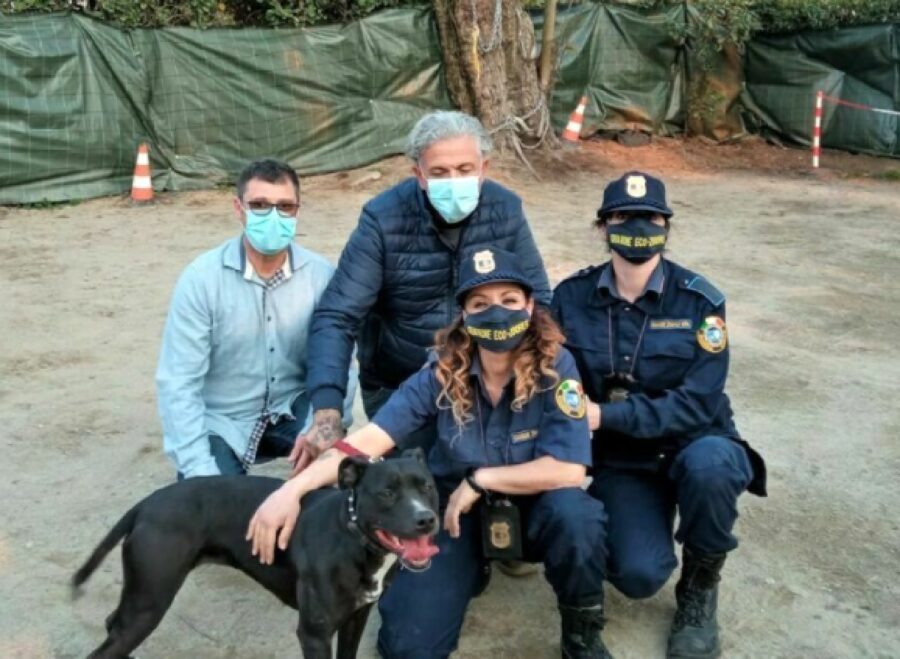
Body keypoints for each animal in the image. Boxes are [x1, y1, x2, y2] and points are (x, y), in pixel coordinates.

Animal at [73, 452, 440, 656]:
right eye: (387, 493)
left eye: (428, 487)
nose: (426, 519)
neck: (352, 537)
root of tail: (147, 505)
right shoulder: (314, 635)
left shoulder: (355, 619)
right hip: (150, 600)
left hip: (141, 597)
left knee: (112, 624)